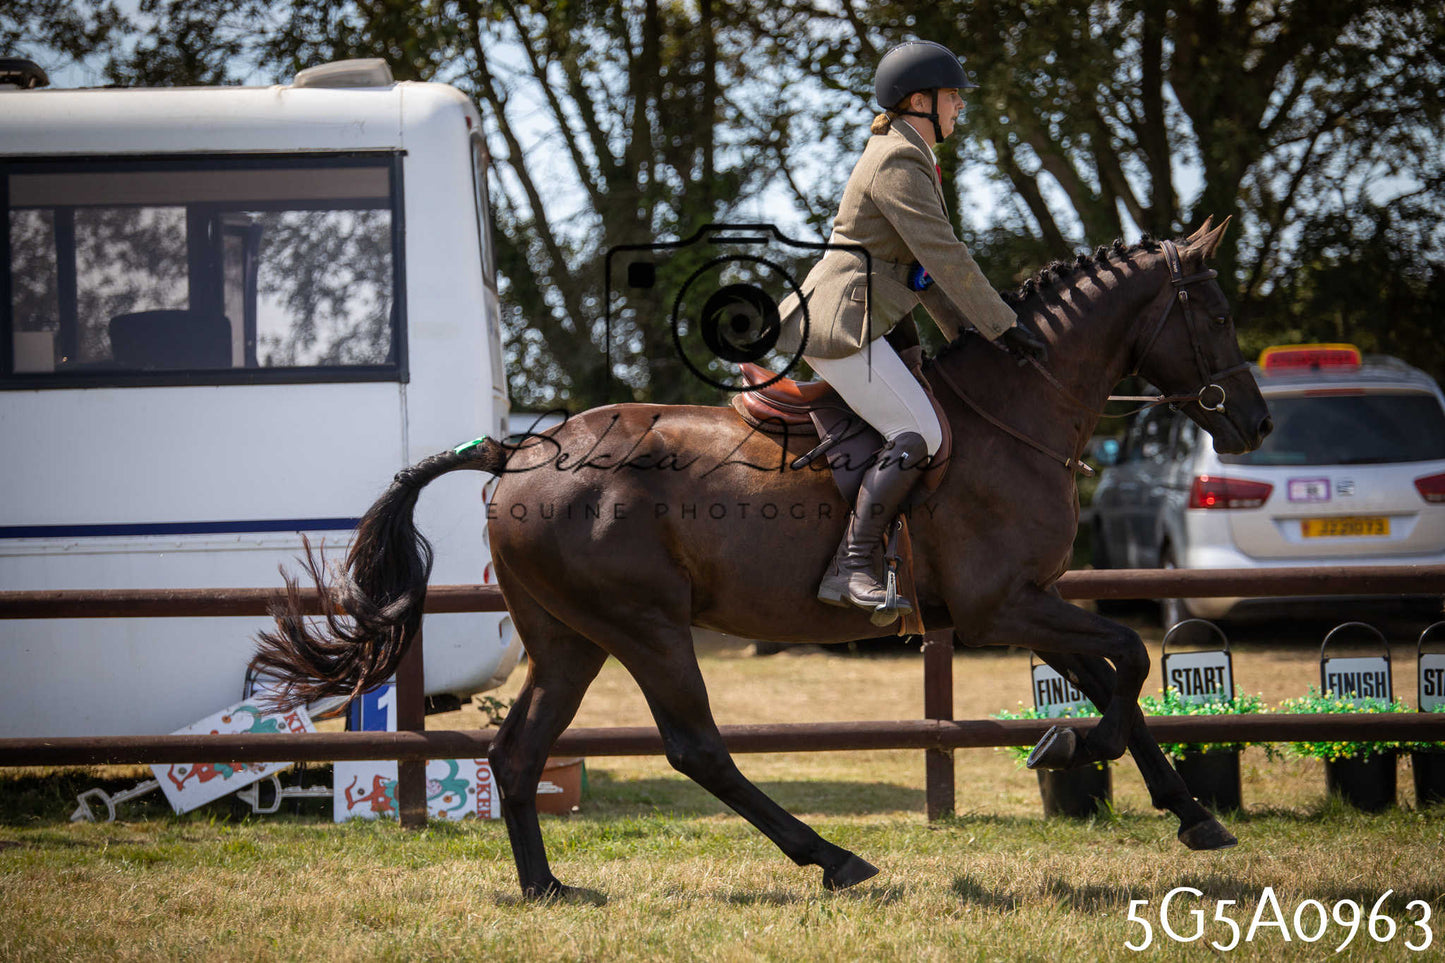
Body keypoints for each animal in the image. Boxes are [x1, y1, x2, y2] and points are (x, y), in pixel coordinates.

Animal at [252, 219, 1273, 899]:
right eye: (1218, 312)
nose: (1256, 422)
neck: (1014, 409)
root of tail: (520, 451)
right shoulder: (1001, 605)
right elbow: (1128, 661)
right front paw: (1083, 749)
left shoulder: (1028, 600)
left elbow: (1112, 677)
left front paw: (1182, 806)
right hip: (646, 625)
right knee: (696, 747)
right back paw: (833, 858)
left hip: (570, 637)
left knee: (517, 751)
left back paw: (547, 886)